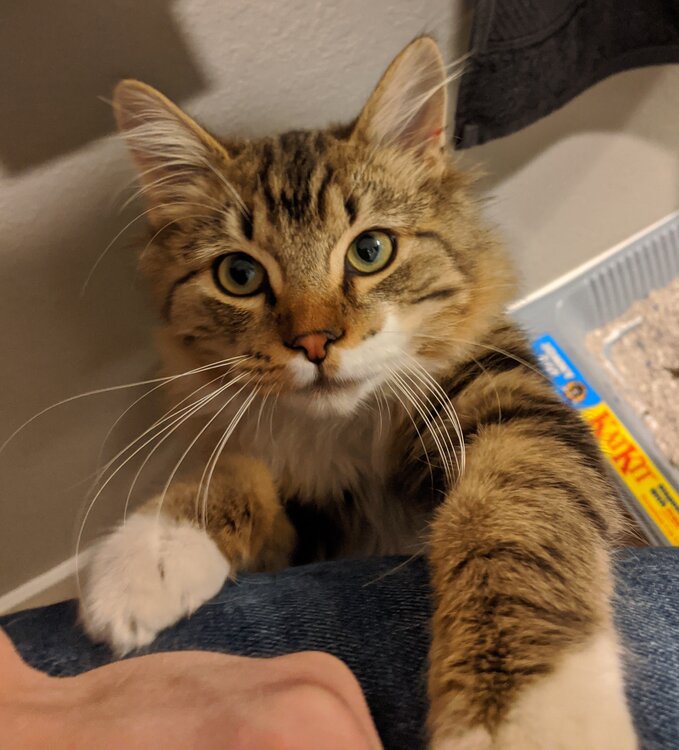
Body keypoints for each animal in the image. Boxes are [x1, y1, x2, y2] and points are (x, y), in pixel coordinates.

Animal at [80, 36, 637, 750]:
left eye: (371, 250)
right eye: (239, 275)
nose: (315, 343)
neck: (346, 437)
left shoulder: (513, 411)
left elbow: (513, 526)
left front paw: (519, 719)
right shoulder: (310, 526)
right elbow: (233, 477)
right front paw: (148, 554)